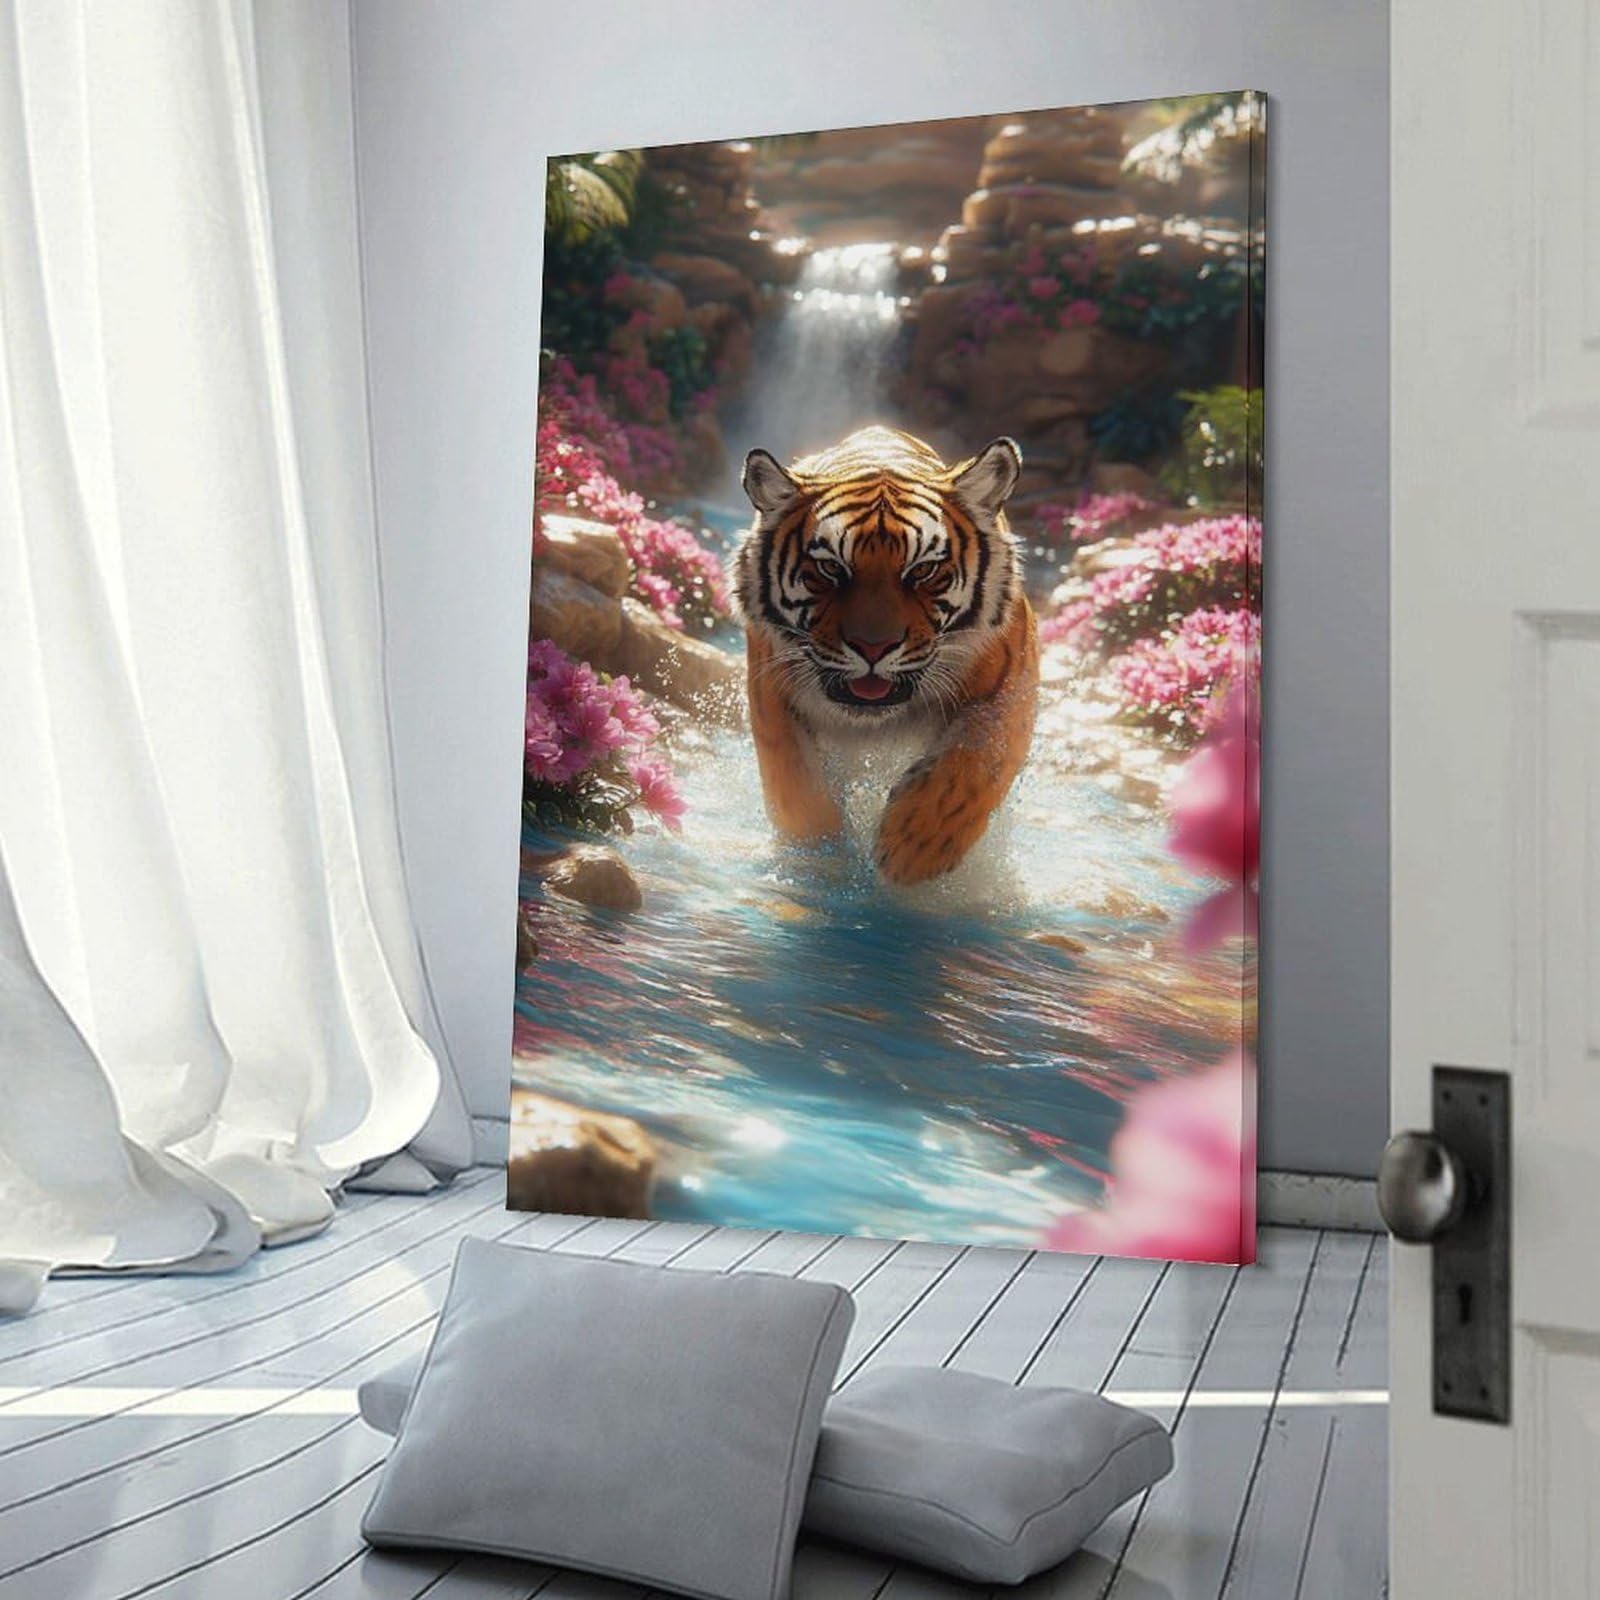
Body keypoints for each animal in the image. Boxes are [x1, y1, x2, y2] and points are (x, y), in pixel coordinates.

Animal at [731, 424, 1039, 885]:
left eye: (923, 570)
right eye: (831, 569)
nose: (872, 647)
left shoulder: (1009, 681)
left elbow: (975, 763)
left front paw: (914, 852)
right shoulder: (771, 687)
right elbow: (793, 781)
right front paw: (820, 859)